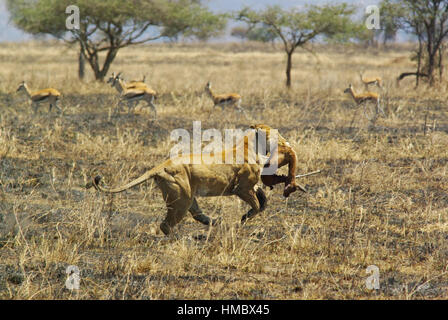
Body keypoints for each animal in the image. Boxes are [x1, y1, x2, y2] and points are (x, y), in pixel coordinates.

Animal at [87, 125, 304, 235]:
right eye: (276, 134)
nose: (286, 142)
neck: (250, 145)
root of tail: (161, 165)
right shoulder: (241, 188)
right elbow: (257, 206)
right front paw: (245, 217)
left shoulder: (251, 185)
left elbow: (263, 201)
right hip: (181, 198)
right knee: (166, 224)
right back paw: (178, 238)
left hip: (189, 195)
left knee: (196, 214)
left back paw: (214, 222)